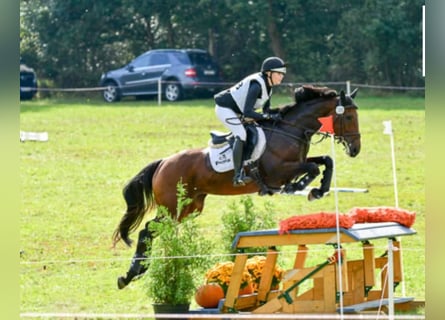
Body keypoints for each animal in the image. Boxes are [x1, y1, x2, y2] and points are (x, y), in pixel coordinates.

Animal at [112, 86, 360, 288]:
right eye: (348, 116)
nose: (355, 149)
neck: (291, 129)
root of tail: (163, 162)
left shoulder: (296, 163)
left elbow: (326, 160)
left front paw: (318, 190)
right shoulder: (278, 172)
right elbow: (313, 167)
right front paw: (299, 186)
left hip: (189, 208)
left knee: (154, 230)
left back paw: (135, 272)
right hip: (172, 207)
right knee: (147, 230)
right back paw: (132, 273)